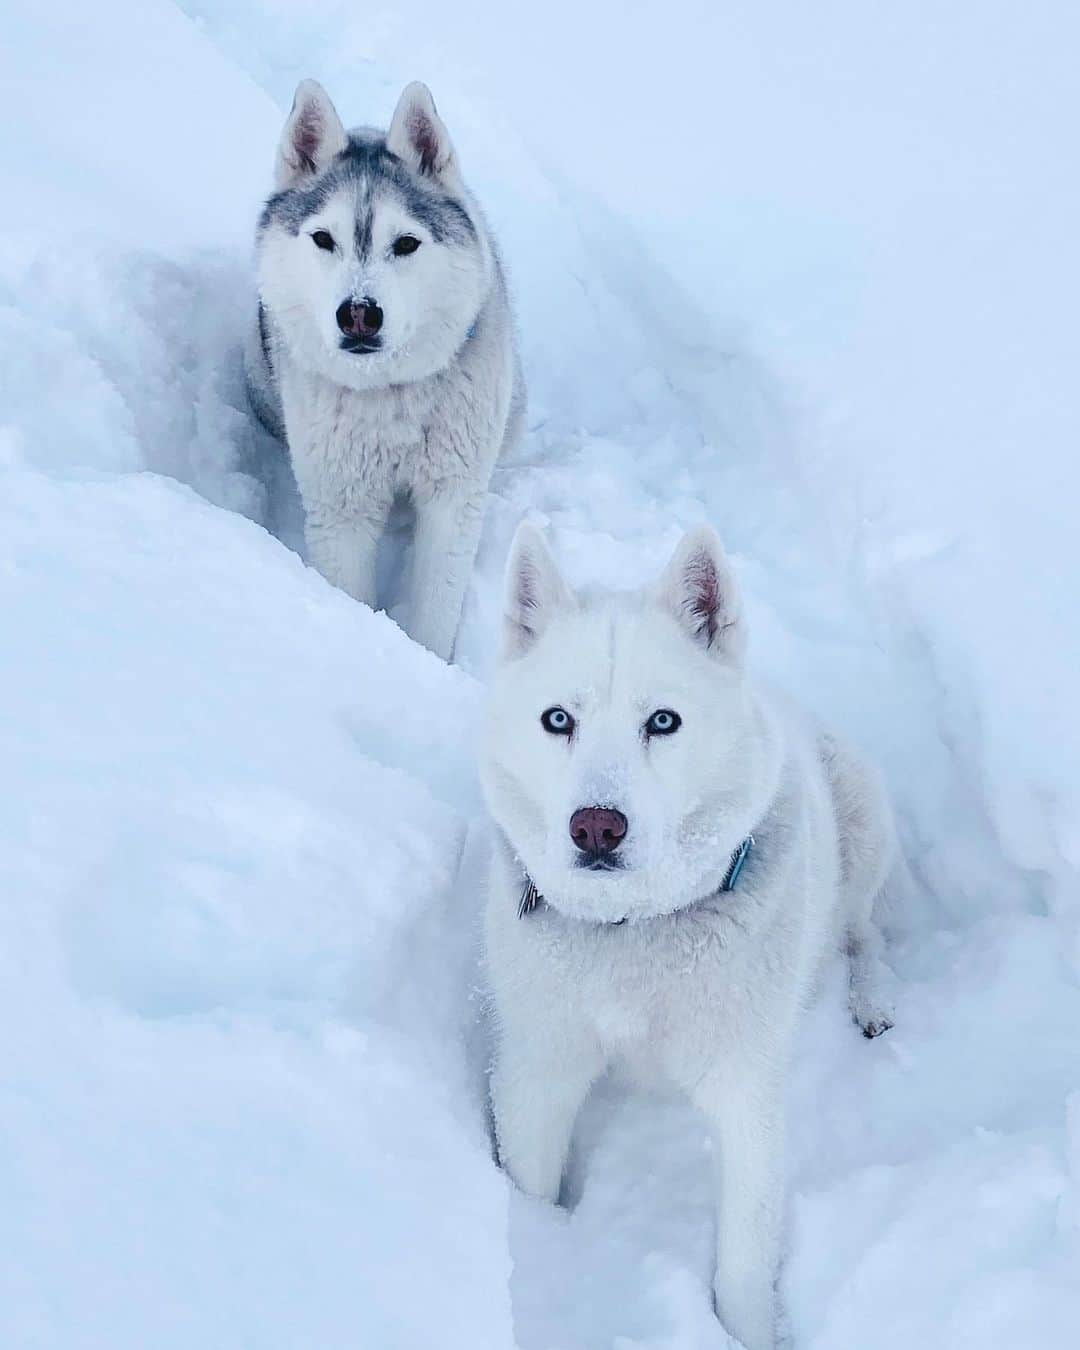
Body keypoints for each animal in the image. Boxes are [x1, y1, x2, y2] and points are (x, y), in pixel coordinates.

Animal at [249, 78, 526, 658]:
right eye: (323, 238)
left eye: (406, 243)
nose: (359, 313)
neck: (391, 396)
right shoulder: (340, 507)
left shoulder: (453, 497)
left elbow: (435, 611)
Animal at [480, 518, 896, 1350]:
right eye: (558, 720)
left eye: (662, 722)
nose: (596, 827)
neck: (633, 932)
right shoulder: (537, 1075)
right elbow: (531, 1185)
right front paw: (540, 1256)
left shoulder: (746, 1093)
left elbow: (743, 1262)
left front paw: (746, 1332)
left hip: (867, 820)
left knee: (862, 930)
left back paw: (869, 1001)